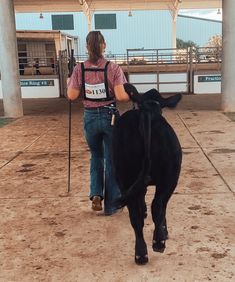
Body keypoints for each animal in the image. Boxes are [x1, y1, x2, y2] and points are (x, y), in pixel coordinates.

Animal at [112, 83, 182, 264]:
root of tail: (147, 114)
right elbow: (162, 207)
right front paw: (164, 230)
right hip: (168, 178)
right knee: (156, 206)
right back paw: (157, 242)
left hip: (127, 178)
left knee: (137, 215)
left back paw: (141, 253)